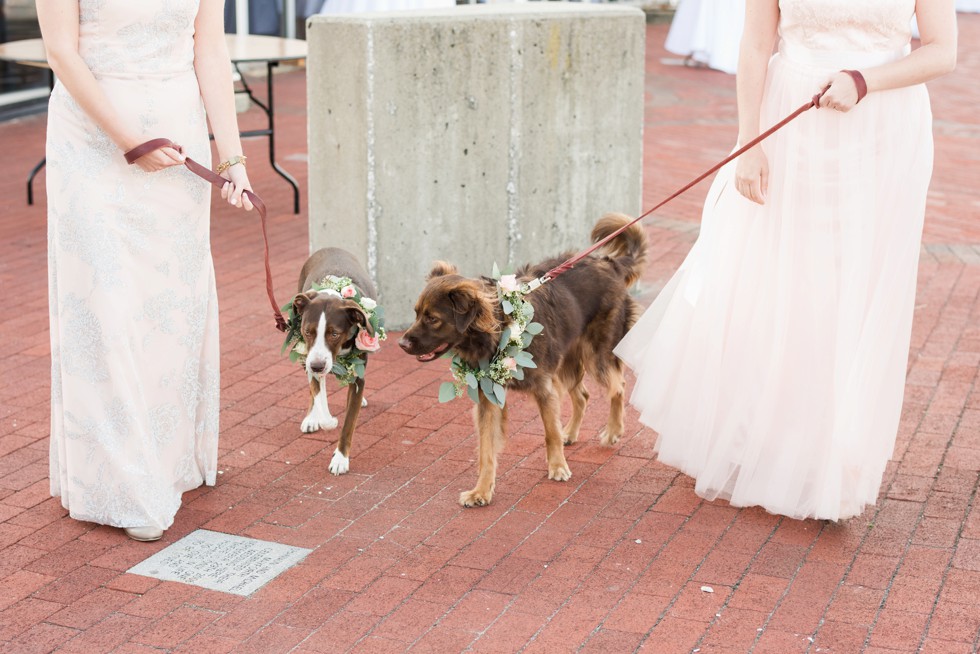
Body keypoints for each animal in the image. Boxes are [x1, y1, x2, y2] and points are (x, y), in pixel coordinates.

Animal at [394, 214, 648, 508]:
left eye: (433, 318)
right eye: (415, 313)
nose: (401, 344)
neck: (498, 328)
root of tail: (610, 264)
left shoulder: (544, 388)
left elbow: (549, 433)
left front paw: (558, 467)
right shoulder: (488, 398)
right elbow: (486, 449)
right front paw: (481, 491)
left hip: (596, 354)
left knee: (618, 387)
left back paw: (613, 430)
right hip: (567, 361)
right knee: (583, 395)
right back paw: (570, 433)